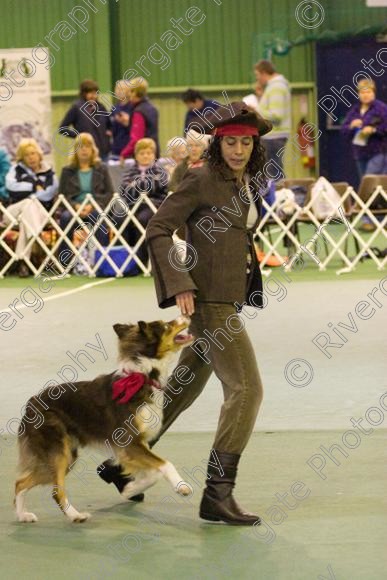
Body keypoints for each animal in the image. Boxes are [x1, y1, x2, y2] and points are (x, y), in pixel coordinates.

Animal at [14, 314, 197, 524]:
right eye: (166, 326)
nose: (186, 315)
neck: (142, 376)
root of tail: (30, 404)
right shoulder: (129, 442)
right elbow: (164, 464)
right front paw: (181, 486)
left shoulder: (135, 446)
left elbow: (152, 474)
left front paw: (129, 490)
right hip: (59, 453)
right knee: (55, 491)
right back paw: (76, 515)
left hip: (65, 456)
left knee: (20, 482)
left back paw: (23, 515)